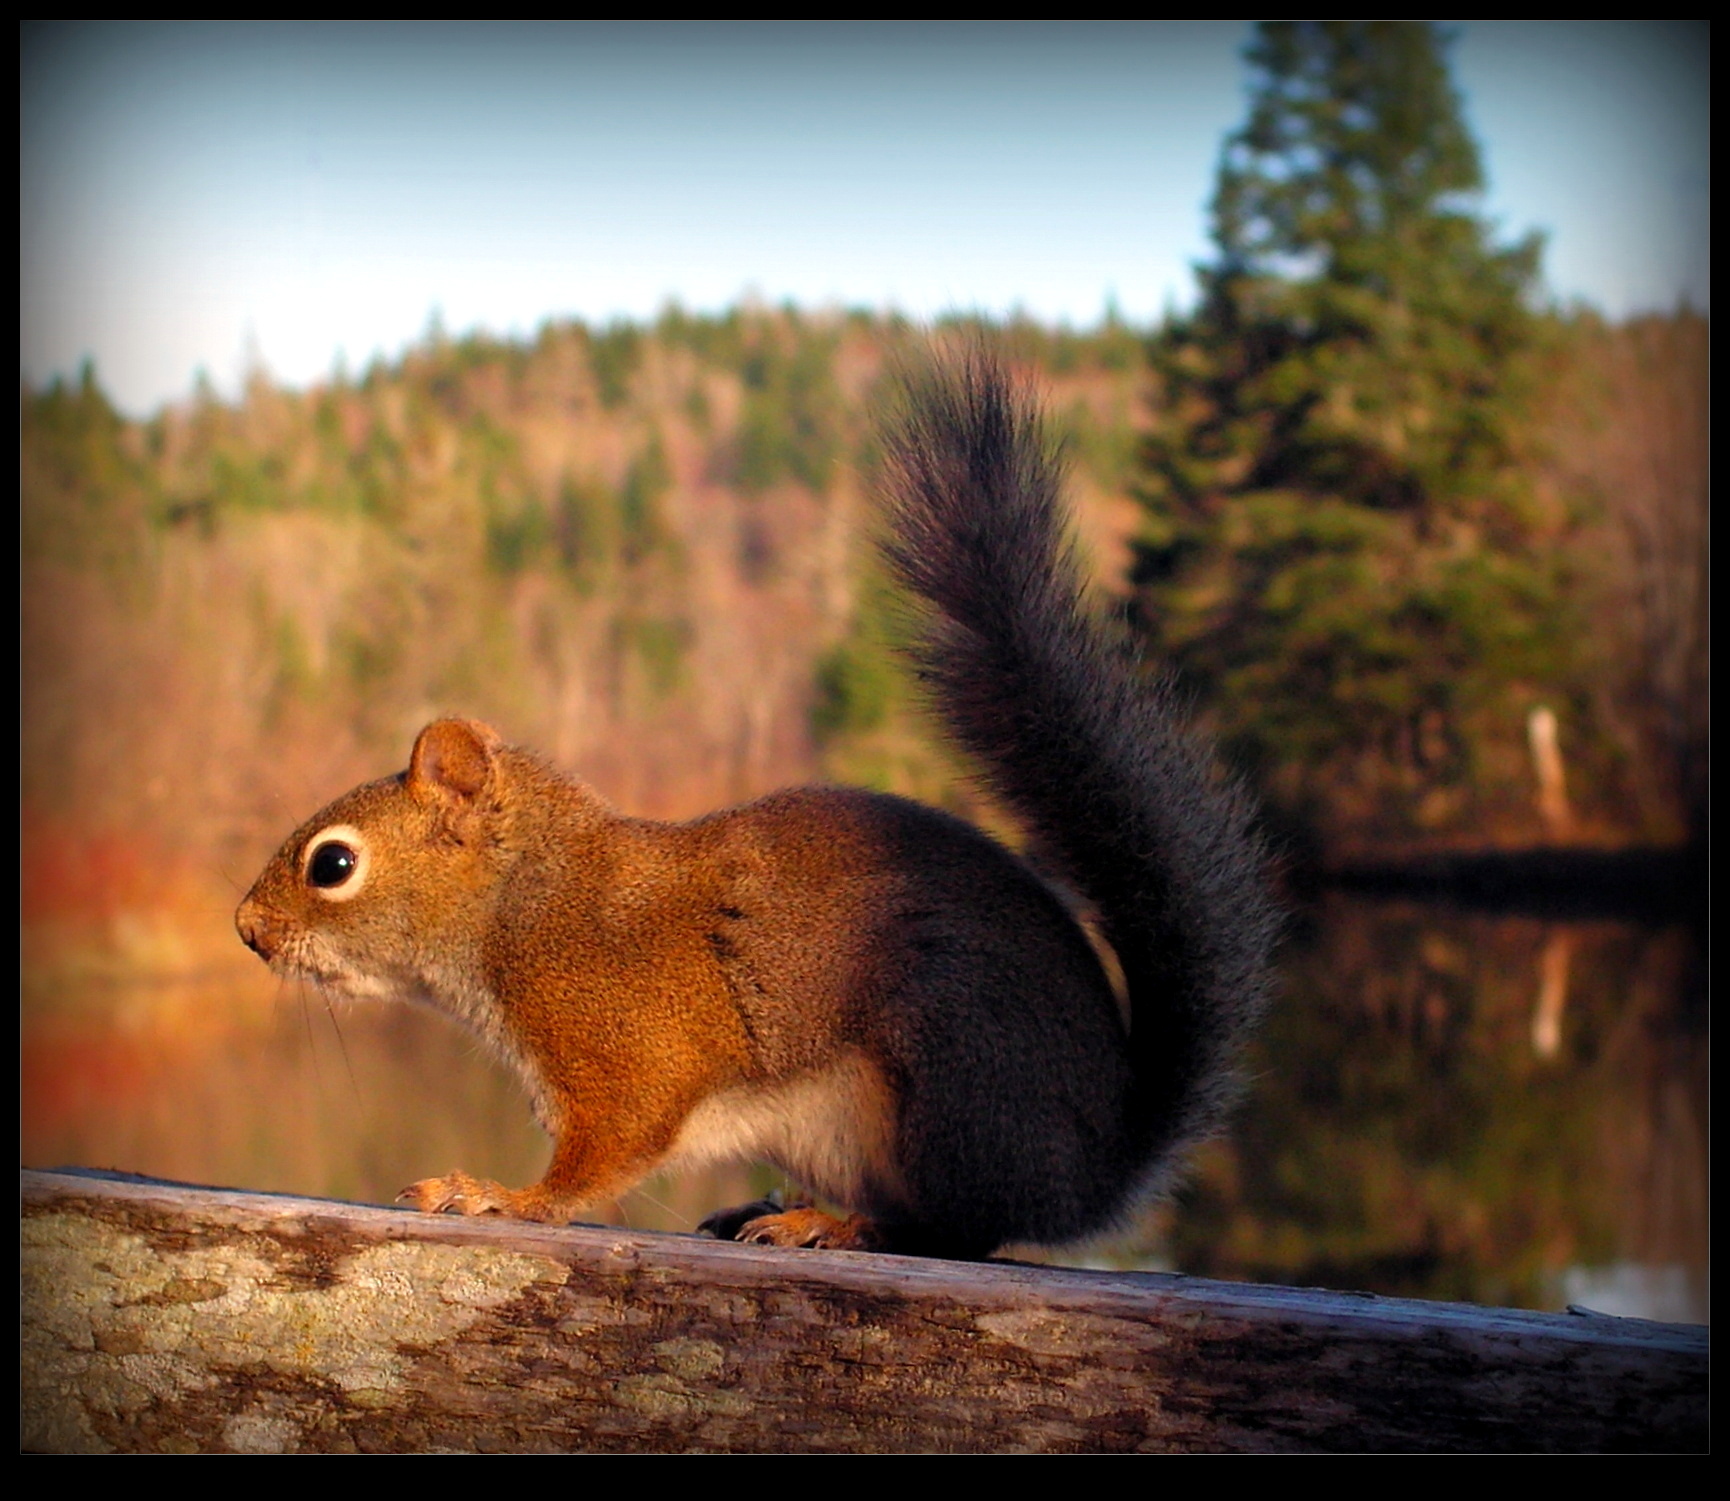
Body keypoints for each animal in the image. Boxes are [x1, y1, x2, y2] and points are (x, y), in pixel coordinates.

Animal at [237, 349, 1280, 1251]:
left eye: (333, 863)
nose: (246, 930)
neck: (526, 906)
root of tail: (1090, 1170)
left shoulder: (628, 1048)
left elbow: (600, 1159)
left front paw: (498, 1195)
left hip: (951, 1082)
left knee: (962, 1226)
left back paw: (840, 1226)